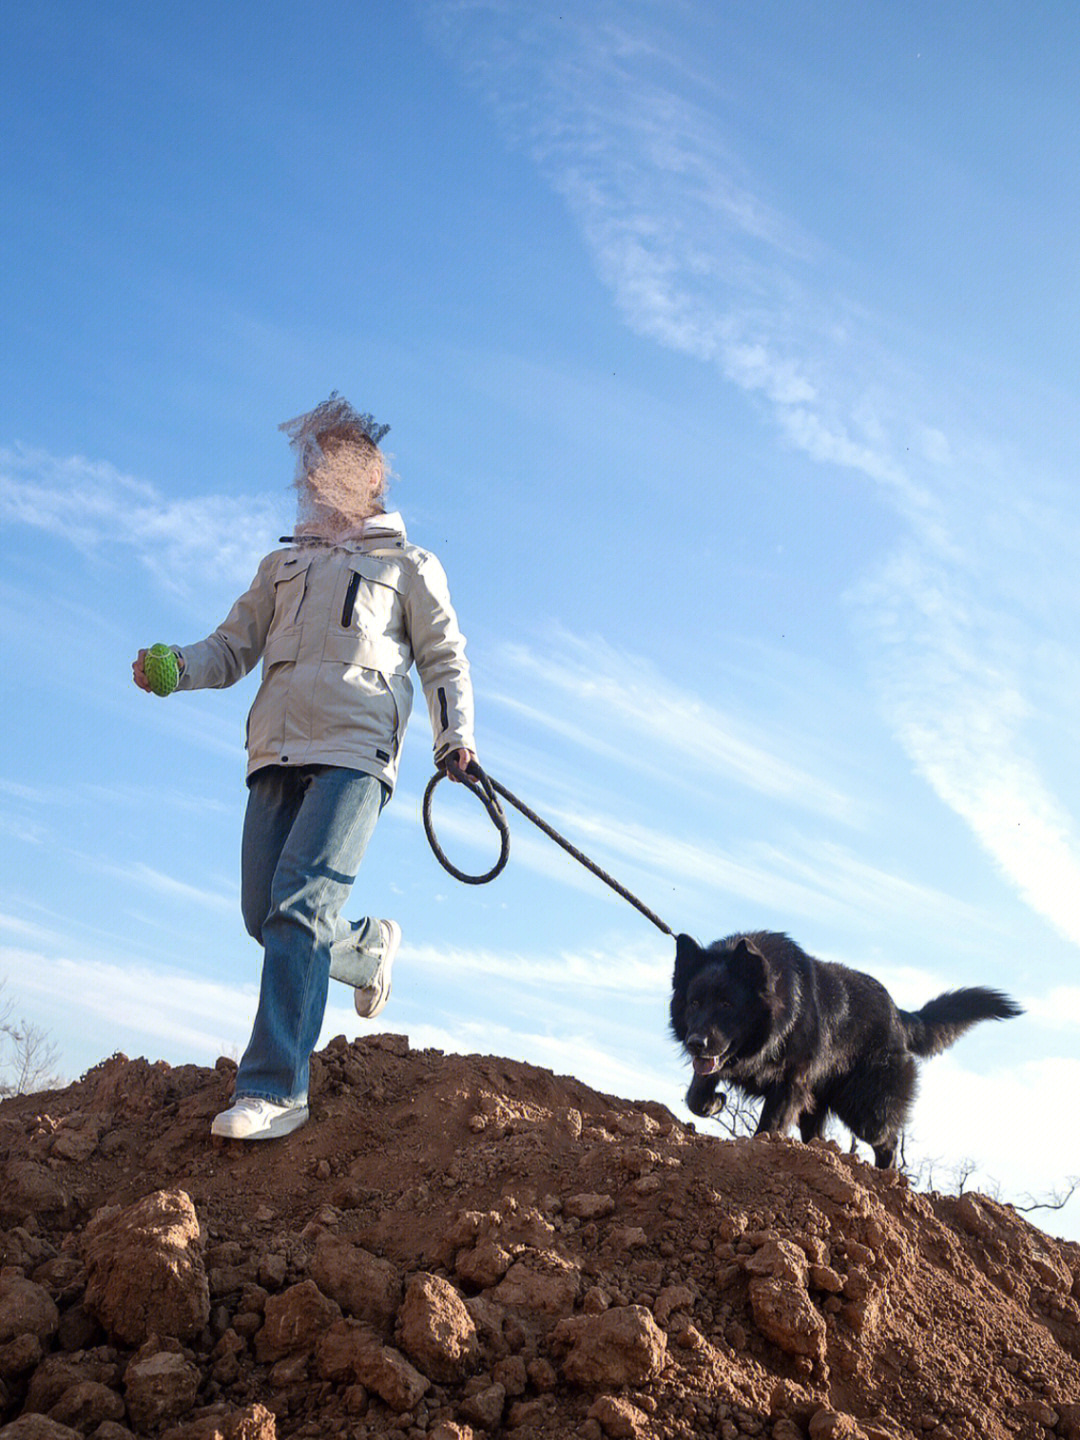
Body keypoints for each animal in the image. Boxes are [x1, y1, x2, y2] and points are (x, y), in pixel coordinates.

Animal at [668, 933, 1025, 1169]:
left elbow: (770, 1124)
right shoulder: (724, 1065)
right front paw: (714, 1102)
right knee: (819, 1134)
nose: (695, 1043)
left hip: (866, 1109)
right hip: (820, 1104)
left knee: (889, 1141)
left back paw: (885, 1178)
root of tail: (900, 1016)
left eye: (727, 1004)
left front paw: (760, 1147)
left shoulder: (790, 1084)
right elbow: (695, 1096)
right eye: (694, 1002)